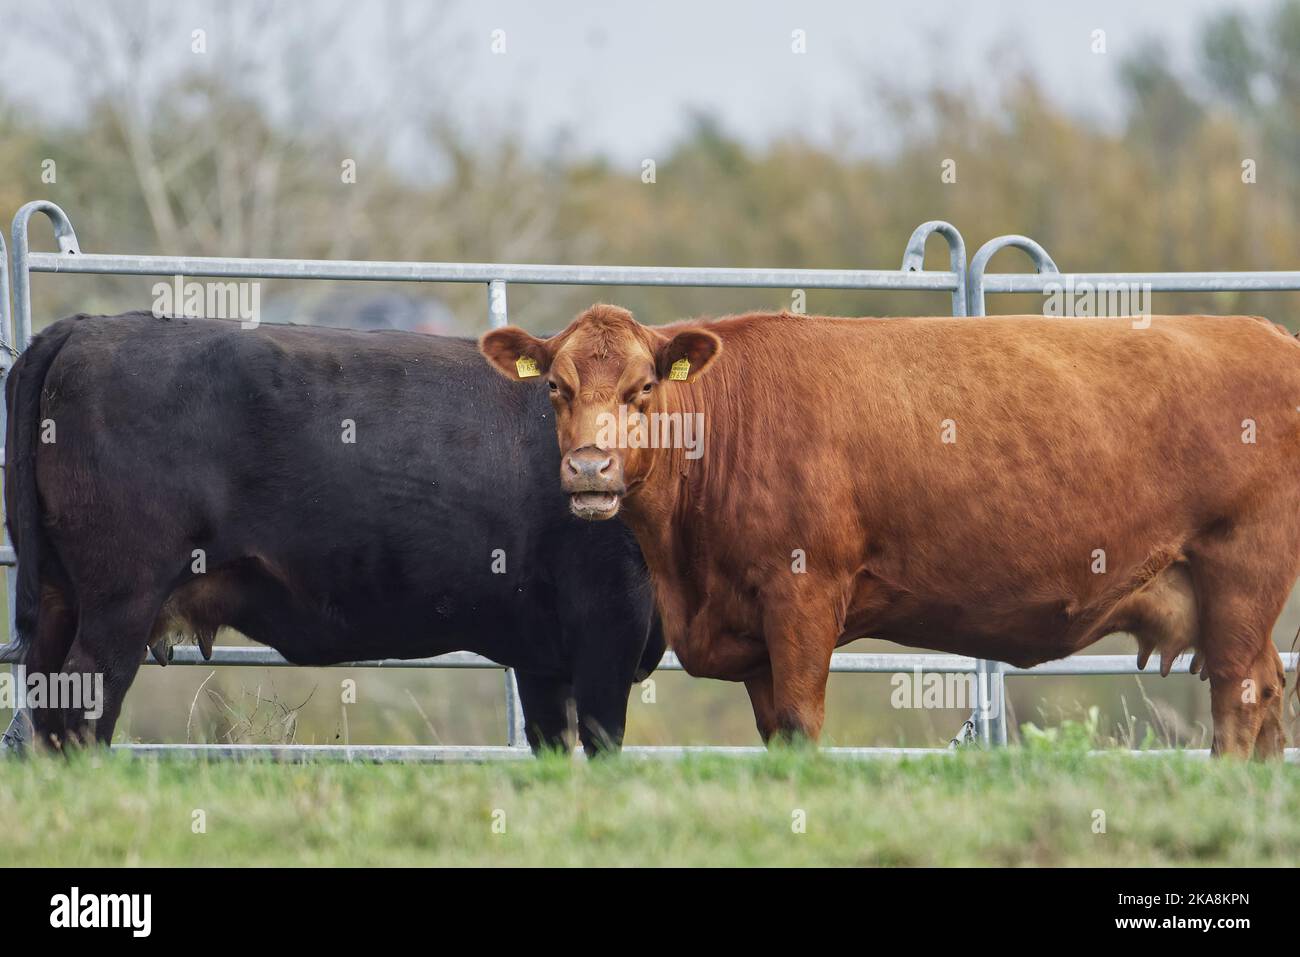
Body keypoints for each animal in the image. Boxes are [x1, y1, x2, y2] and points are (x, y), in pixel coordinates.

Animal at [3, 312, 663, 756]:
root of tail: (87, 328)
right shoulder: (611, 618)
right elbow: (603, 738)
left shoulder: (543, 651)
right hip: (121, 597)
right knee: (83, 706)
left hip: (64, 597)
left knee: (48, 703)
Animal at [481, 304, 1300, 758]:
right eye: (555, 388)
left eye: (643, 387)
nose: (589, 467)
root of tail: (1269, 334)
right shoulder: (751, 628)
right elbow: (774, 730)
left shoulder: (803, 592)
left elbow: (800, 720)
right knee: (1267, 692)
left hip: (1242, 565)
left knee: (1241, 697)